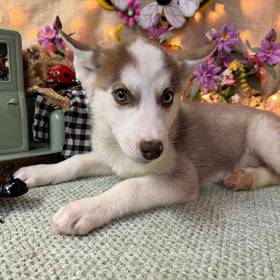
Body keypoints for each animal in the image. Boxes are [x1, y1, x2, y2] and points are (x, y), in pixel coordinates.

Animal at [15, 32, 280, 234]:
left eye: (168, 96)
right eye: (121, 94)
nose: (153, 150)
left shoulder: (184, 177)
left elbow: (130, 187)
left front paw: (85, 209)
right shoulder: (114, 156)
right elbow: (76, 161)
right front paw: (38, 171)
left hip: (262, 134)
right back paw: (244, 178)